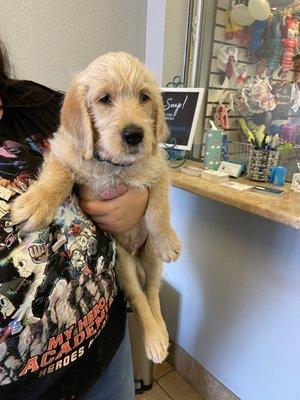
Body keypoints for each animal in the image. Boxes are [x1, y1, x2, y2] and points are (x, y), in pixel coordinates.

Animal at [11, 51, 180, 364]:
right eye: (104, 99)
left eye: (144, 96)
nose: (134, 134)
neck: (112, 165)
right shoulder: (63, 152)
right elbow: (59, 176)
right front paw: (36, 202)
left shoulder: (158, 167)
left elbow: (158, 206)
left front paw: (166, 238)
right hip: (122, 263)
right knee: (139, 297)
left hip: (150, 258)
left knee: (151, 293)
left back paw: (157, 335)